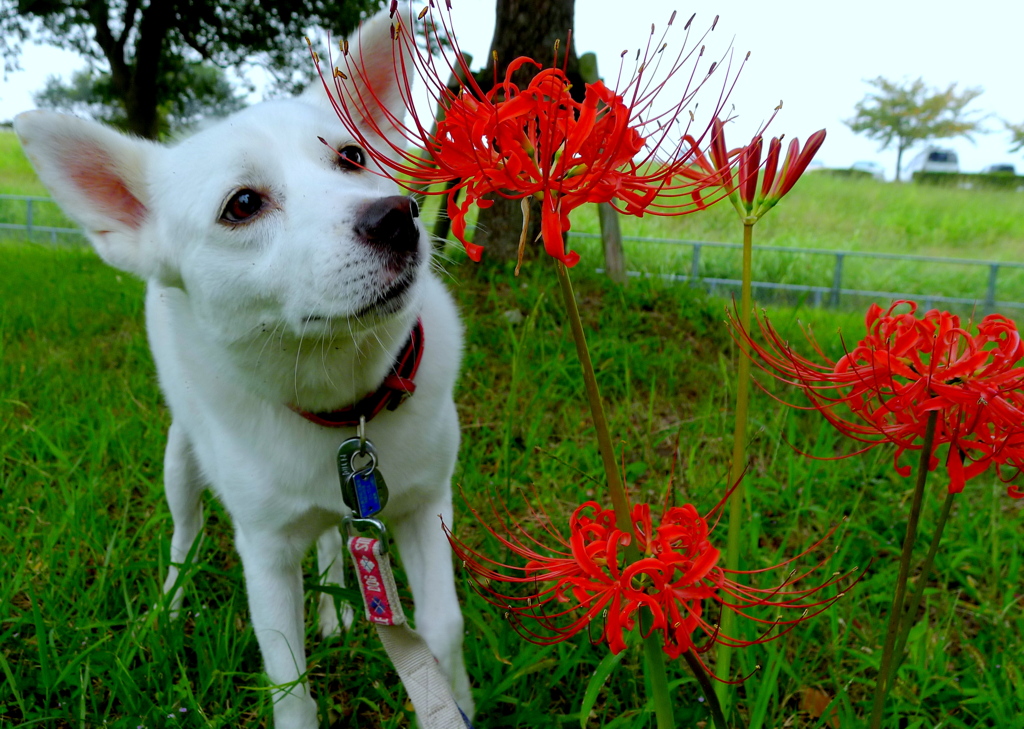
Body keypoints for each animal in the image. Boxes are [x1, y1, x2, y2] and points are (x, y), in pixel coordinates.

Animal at [16, 11, 471, 729]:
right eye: (243, 204)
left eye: (352, 157)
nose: (397, 217)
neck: (342, 403)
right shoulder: (265, 553)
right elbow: (291, 687)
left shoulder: (424, 503)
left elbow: (442, 628)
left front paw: (457, 697)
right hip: (181, 458)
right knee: (185, 533)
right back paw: (169, 609)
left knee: (332, 542)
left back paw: (336, 606)